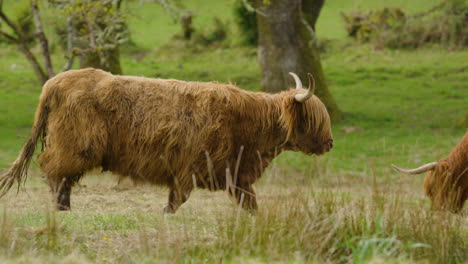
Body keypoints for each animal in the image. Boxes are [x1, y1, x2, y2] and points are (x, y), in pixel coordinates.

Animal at [0, 68, 332, 212]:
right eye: (315, 120)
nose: (330, 143)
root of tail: (57, 80)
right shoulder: (190, 170)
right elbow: (176, 201)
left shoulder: (236, 174)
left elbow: (250, 203)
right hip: (77, 146)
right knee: (53, 170)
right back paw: (61, 208)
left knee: (61, 175)